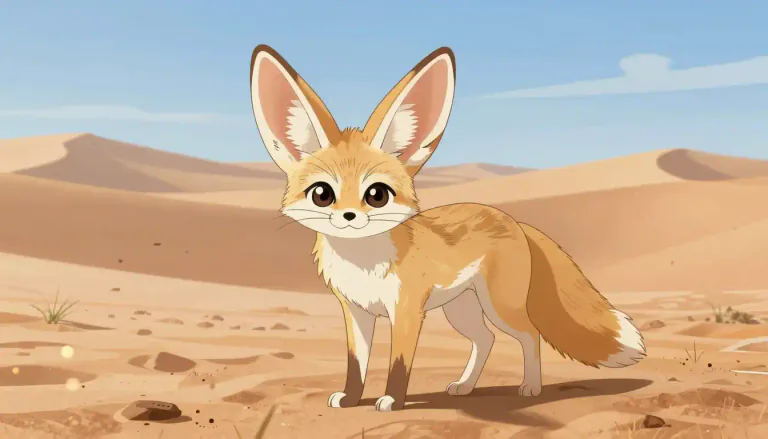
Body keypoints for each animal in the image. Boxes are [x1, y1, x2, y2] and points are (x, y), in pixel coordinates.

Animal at [249, 44, 646, 412]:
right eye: (322, 194)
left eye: (376, 195)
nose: (348, 217)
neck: (363, 266)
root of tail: (513, 219)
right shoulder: (355, 312)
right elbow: (356, 365)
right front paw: (350, 398)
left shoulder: (407, 310)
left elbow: (399, 363)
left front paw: (392, 401)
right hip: (461, 310)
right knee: (486, 340)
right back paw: (466, 386)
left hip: (498, 307)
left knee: (529, 335)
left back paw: (531, 387)